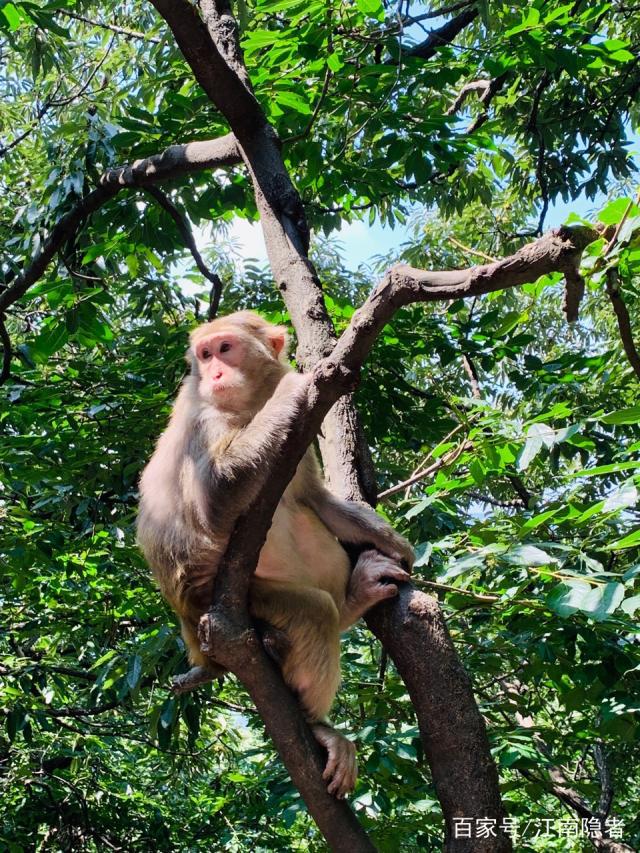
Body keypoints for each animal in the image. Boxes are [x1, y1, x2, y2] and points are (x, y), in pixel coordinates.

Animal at [138, 312, 412, 800]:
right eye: (204, 355)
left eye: (225, 349)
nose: (214, 374)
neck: (248, 407)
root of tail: (194, 639)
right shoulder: (202, 419)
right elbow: (216, 496)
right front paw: (294, 386)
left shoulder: (298, 439)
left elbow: (314, 498)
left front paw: (393, 541)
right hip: (230, 604)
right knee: (313, 610)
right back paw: (315, 722)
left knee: (300, 515)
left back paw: (356, 596)